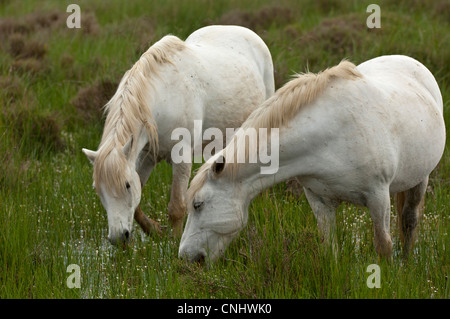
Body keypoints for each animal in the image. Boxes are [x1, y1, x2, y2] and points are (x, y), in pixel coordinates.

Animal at [82, 25, 276, 245]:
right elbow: (138, 205)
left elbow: (177, 206)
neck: (163, 98)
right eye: (99, 190)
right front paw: (155, 230)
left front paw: (173, 243)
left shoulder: (181, 155)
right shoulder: (148, 155)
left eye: (126, 185)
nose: (117, 238)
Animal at [180, 55, 446, 264]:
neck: (331, 135)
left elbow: (384, 245)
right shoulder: (319, 199)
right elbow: (329, 248)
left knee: (409, 221)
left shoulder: (378, 196)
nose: (185, 257)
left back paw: (407, 263)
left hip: (420, 179)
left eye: (198, 205)